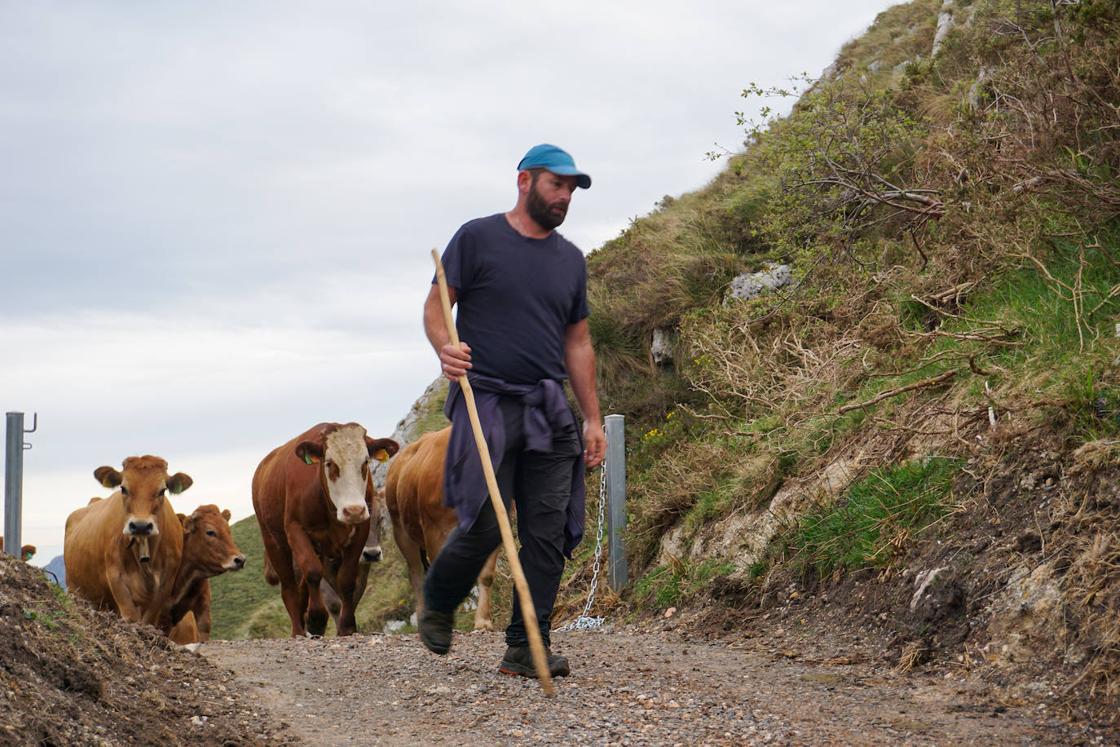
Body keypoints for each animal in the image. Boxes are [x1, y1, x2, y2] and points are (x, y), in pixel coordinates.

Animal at [62, 456, 190, 627]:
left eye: (162, 490)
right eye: (123, 489)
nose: (140, 525)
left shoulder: (166, 582)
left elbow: (149, 618)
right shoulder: (116, 577)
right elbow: (130, 615)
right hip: (75, 587)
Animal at [253, 421, 398, 636]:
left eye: (365, 462)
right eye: (329, 463)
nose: (353, 510)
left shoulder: (359, 533)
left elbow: (347, 581)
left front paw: (347, 627)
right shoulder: (295, 529)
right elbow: (314, 572)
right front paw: (316, 619)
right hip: (274, 542)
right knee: (289, 589)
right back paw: (298, 630)